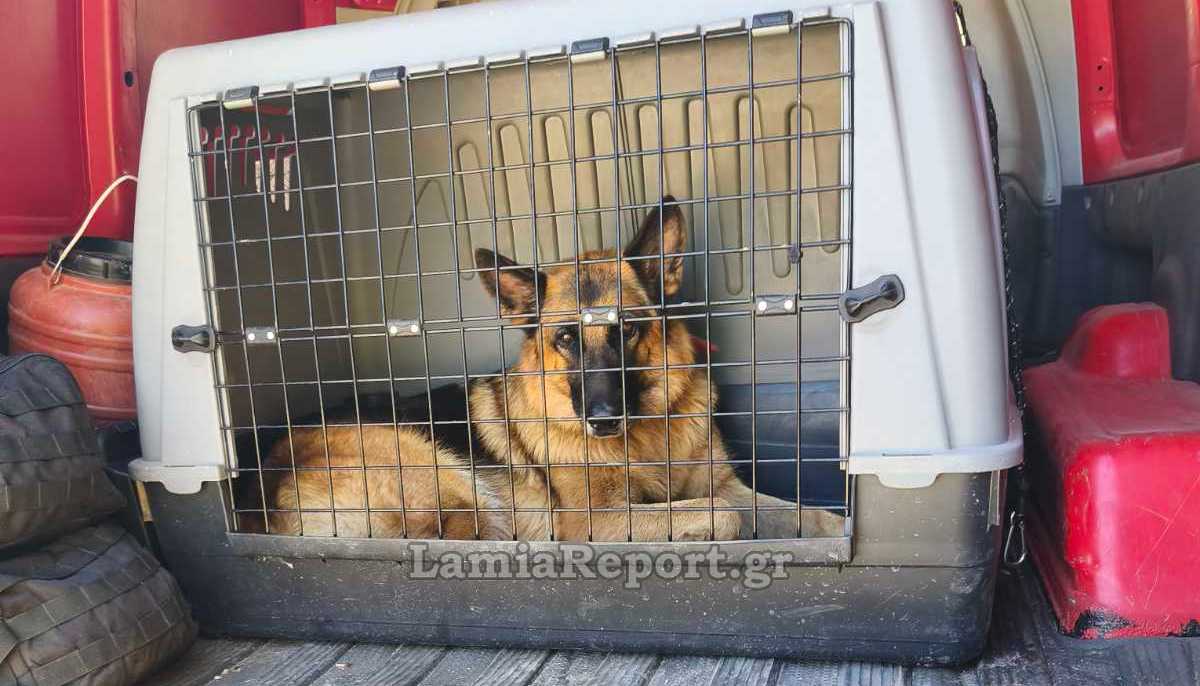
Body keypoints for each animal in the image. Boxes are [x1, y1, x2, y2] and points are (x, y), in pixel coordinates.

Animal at [258, 196, 843, 542]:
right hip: (457, 490)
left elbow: (799, 512)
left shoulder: (726, 484)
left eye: (628, 331)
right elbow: (724, 513)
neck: (648, 438)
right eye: (565, 338)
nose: (603, 420)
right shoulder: (595, 522)